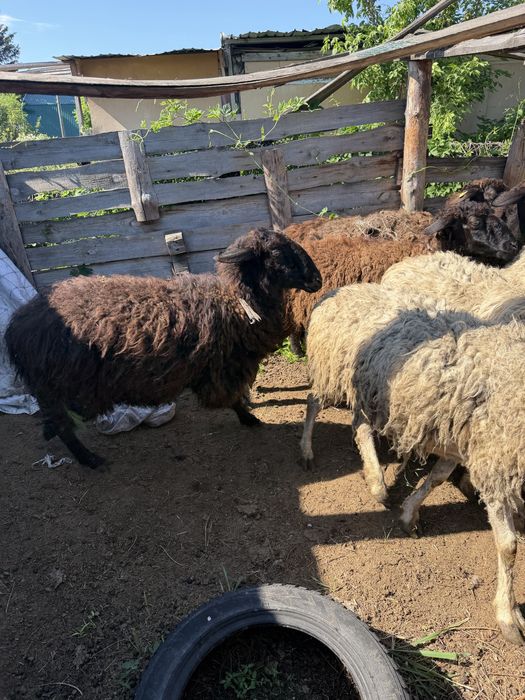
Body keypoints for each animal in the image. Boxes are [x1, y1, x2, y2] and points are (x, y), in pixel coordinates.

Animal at [6, 227, 321, 468]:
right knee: (62, 426)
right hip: (51, 387)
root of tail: (17, 324)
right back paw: (90, 460)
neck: (238, 301)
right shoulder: (224, 366)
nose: (317, 279)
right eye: (277, 253)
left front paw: (249, 410)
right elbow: (232, 397)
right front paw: (249, 417)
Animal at [301, 283, 525, 645]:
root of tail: (338, 292)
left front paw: (409, 512)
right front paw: (508, 614)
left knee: (359, 426)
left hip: (369, 388)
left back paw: (375, 479)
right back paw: (310, 451)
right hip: (332, 370)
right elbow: (508, 546)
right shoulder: (495, 460)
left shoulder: (461, 438)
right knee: (313, 402)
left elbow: (438, 476)